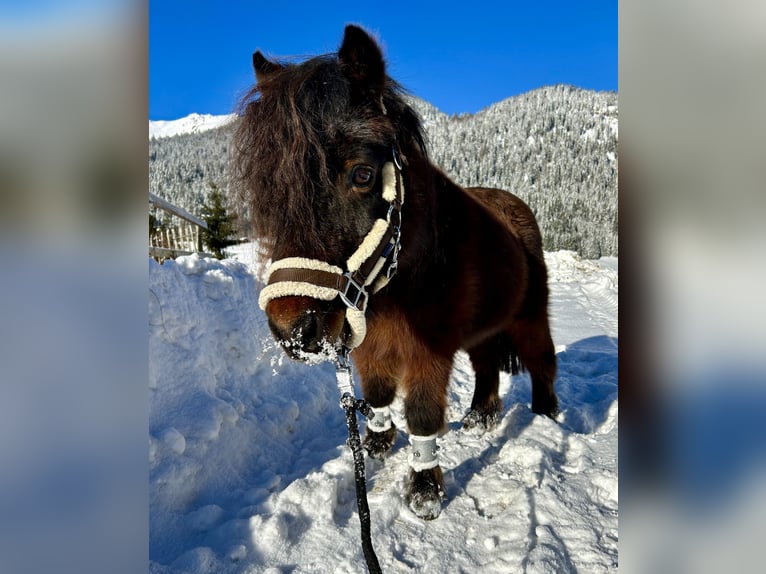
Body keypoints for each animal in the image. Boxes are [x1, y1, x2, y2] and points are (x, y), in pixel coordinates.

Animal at [234, 25, 560, 520]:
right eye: (268, 185)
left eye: (363, 174)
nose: (293, 330)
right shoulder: (368, 344)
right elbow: (378, 394)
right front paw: (376, 444)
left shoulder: (429, 353)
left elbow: (422, 416)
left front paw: (424, 490)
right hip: (483, 328)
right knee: (486, 364)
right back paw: (480, 416)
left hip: (529, 318)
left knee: (542, 362)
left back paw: (546, 418)